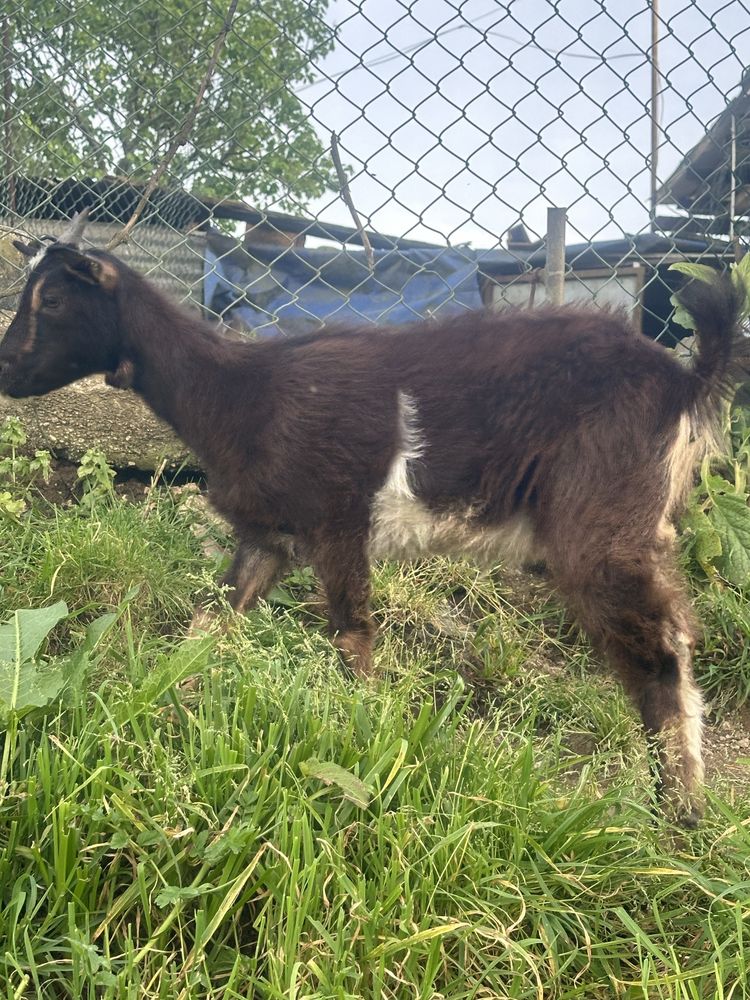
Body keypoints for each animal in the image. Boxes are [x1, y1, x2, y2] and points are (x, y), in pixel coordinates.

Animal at [2, 215, 748, 824]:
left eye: (53, 300)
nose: (7, 370)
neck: (237, 393)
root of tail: (685, 382)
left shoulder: (337, 522)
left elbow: (352, 639)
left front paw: (368, 743)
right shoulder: (268, 536)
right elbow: (208, 622)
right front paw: (155, 697)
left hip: (603, 524)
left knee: (659, 656)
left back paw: (678, 818)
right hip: (640, 527)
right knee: (674, 640)